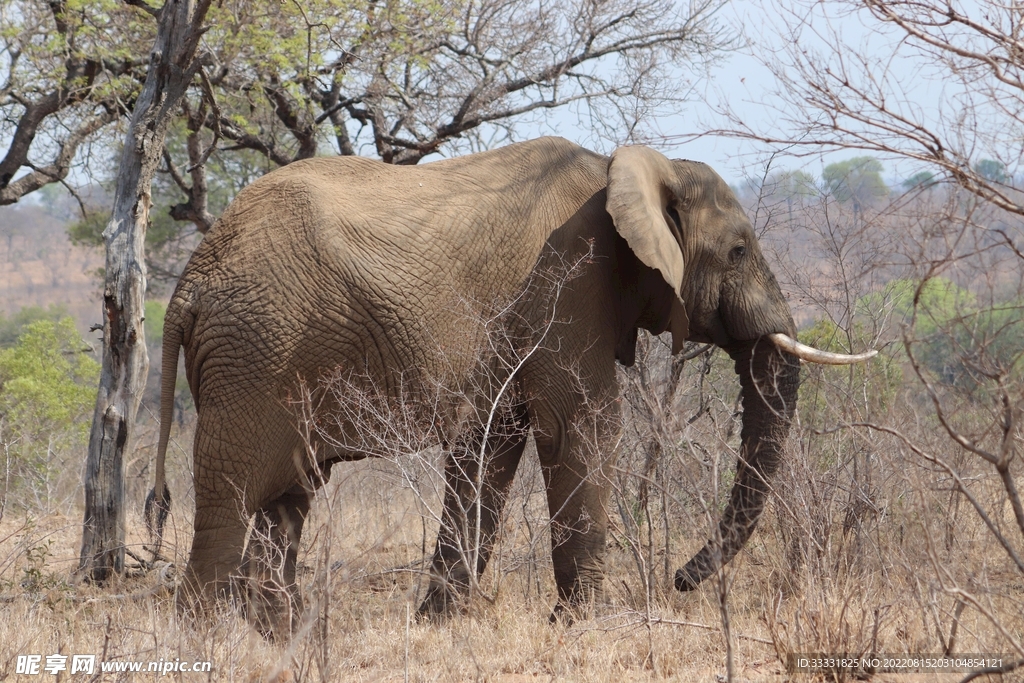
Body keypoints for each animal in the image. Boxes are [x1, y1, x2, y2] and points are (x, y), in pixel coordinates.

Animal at [147, 136, 873, 634]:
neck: (633, 165)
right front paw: (588, 624)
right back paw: (206, 636)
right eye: (740, 252)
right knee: (233, 491)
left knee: (289, 495)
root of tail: (189, 283)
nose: (680, 579)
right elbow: (582, 425)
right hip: (255, 352)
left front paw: (440, 624)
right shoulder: (570, 284)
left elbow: (488, 449)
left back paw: (278, 635)